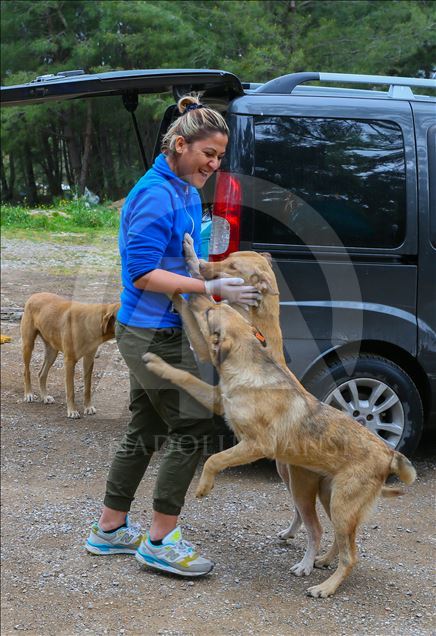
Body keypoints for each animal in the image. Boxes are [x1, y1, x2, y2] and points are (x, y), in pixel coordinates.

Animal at [145, 294, 416, 597]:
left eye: (209, 312)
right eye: (215, 307)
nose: (193, 295)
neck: (247, 368)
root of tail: (389, 453)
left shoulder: (255, 445)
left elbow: (215, 459)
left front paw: (204, 486)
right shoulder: (217, 400)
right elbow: (185, 377)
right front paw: (157, 363)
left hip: (339, 504)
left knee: (348, 554)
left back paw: (325, 587)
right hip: (329, 499)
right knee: (338, 539)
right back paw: (323, 560)